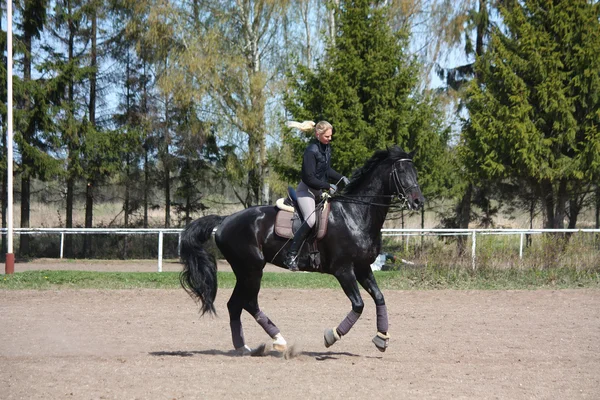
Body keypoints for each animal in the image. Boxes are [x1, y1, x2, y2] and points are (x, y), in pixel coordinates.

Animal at [180, 145, 424, 354]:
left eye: (415, 171)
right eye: (402, 171)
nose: (418, 202)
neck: (355, 214)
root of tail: (225, 220)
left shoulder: (363, 268)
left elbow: (379, 298)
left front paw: (382, 338)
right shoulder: (343, 270)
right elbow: (358, 305)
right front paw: (331, 336)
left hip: (245, 271)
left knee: (235, 305)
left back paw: (243, 347)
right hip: (251, 270)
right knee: (248, 303)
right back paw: (278, 340)